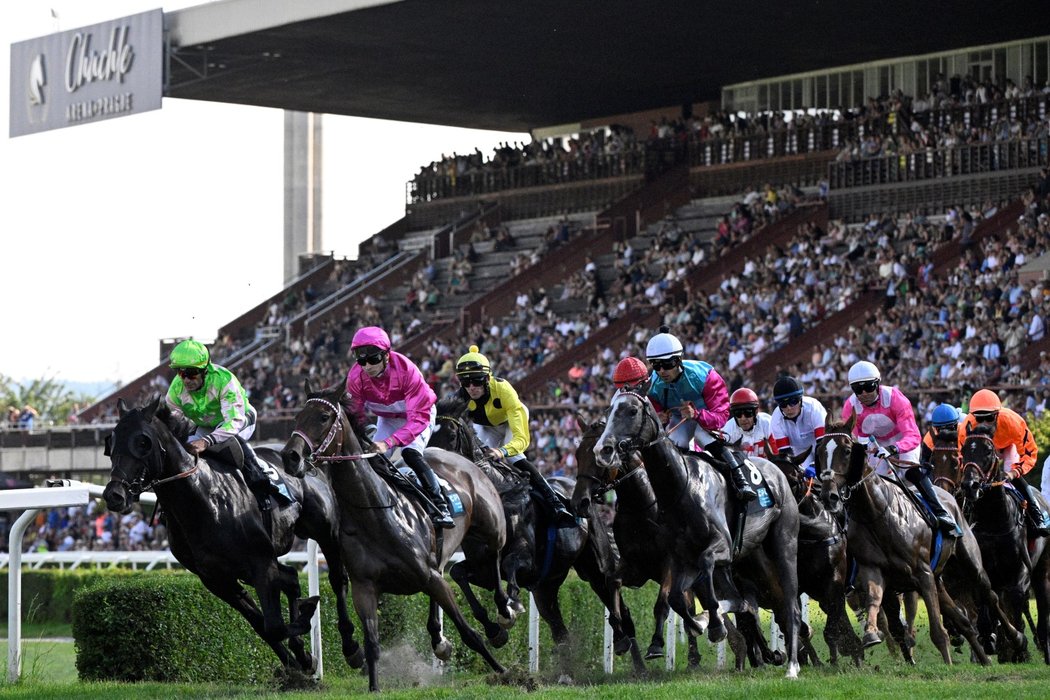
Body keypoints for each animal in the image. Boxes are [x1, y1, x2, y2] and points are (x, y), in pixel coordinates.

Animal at [101, 398, 363, 680]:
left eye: (143, 441)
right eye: (111, 442)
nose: (115, 495)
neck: (203, 500)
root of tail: (309, 462)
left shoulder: (260, 564)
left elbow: (274, 624)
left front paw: (305, 628)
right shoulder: (217, 578)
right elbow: (264, 625)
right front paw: (299, 660)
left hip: (325, 533)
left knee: (337, 579)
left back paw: (351, 647)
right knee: (292, 577)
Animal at [279, 386, 508, 692]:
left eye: (324, 417)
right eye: (297, 416)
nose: (290, 456)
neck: (376, 513)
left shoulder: (430, 577)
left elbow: (468, 632)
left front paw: (502, 669)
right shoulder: (365, 588)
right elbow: (372, 642)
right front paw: (374, 685)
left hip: (491, 526)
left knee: (495, 555)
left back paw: (504, 614)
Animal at [428, 396, 646, 671]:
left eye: (451, 433)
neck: (498, 495)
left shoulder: (525, 561)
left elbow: (509, 566)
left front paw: (510, 607)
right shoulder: (482, 569)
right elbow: (458, 573)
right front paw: (494, 630)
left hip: (594, 567)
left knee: (616, 603)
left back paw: (630, 652)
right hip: (546, 587)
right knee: (559, 630)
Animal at [592, 388, 802, 680]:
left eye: (632, 411)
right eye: (608, 411)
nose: (603, 450)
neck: (682, 487)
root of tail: (778, 471)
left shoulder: (719, 547)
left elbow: (704, 570)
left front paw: (712, 625)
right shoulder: (680, 559)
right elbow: (677, 600)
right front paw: (704, 623)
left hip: (784, 545)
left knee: (790, 604)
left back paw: (792, 666)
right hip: (750, 558)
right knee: (745, 601)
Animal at [818, 419, 1024, 667]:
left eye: (847, 450)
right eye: (820, 451)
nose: (829, 495)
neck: (876, 514)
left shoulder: (922, 573)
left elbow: (937, 630)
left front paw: (947, 664)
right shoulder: (874, 571)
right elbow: (876, 602)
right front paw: (870, 634)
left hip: (970, 565)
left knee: (990, 595)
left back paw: (1016, 638)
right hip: (940, 580)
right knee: (963, 620)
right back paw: (984, 659)